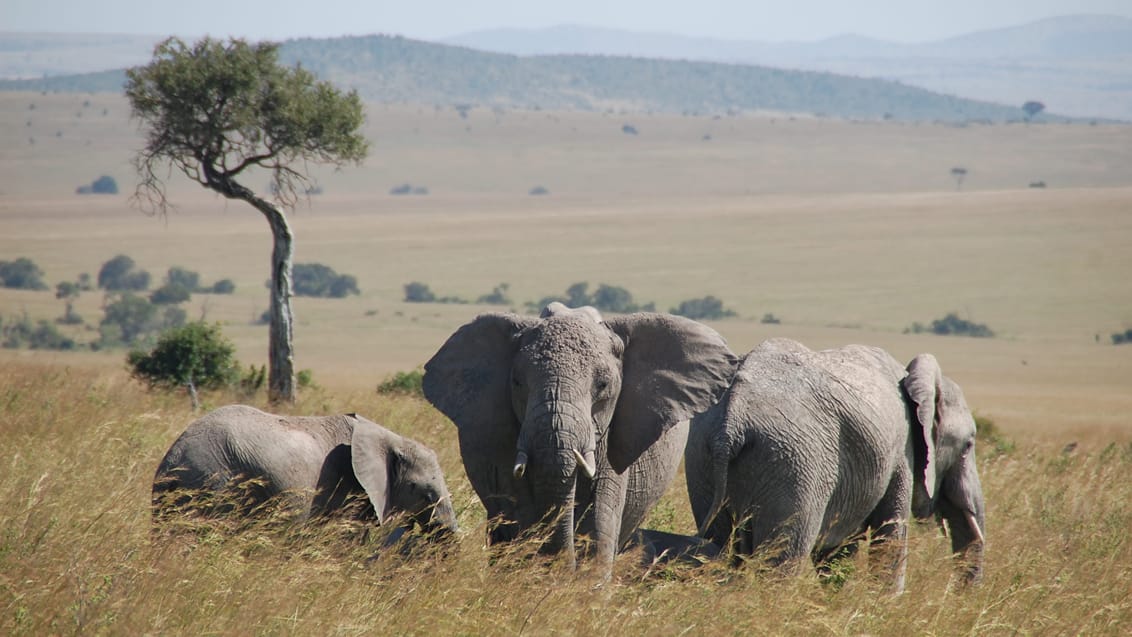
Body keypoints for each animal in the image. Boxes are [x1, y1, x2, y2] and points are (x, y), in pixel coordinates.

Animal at [683, 339, 987, 592]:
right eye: (968, 445)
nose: (955, 595)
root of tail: (732, 421)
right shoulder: (902, 452)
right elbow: (889, 536)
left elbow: (838, 551)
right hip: (795, 464)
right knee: (782, 561)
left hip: (703, 457)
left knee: (720, 546)